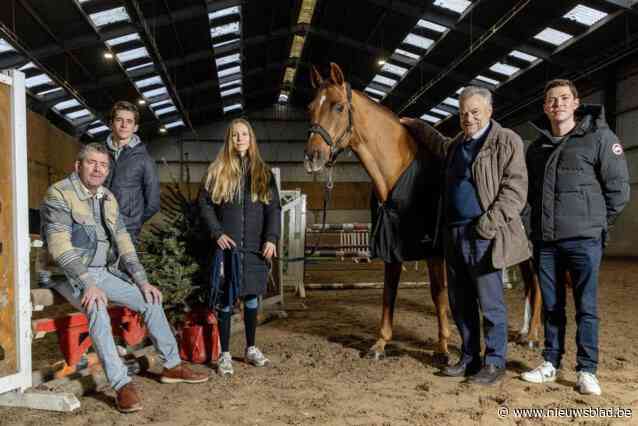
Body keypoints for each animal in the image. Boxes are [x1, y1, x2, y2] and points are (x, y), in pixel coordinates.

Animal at [304, 64, 544, 362]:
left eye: (338, 106)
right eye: (310, 107)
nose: (312, 156)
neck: (399, 172)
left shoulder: (433, 250)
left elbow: (438, 294)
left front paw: (443, 348)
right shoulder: (391, 245)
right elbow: (389, 291)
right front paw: (380, 343)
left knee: (538, 285)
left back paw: (532, 336)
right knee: (530, 285)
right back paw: (523, 333)